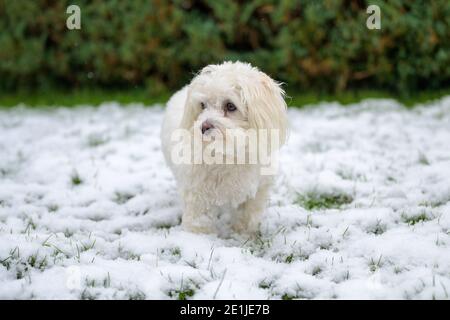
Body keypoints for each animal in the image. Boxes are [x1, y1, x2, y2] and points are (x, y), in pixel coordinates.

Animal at [162, 61, 288, 235]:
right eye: (202, 105)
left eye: (230, 106)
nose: (203, 127)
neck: (228, 153)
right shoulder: (197, 194)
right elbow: (198, 221)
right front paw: (197, 237)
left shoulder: (256, 191)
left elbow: (247, 216)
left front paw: (243, 234)